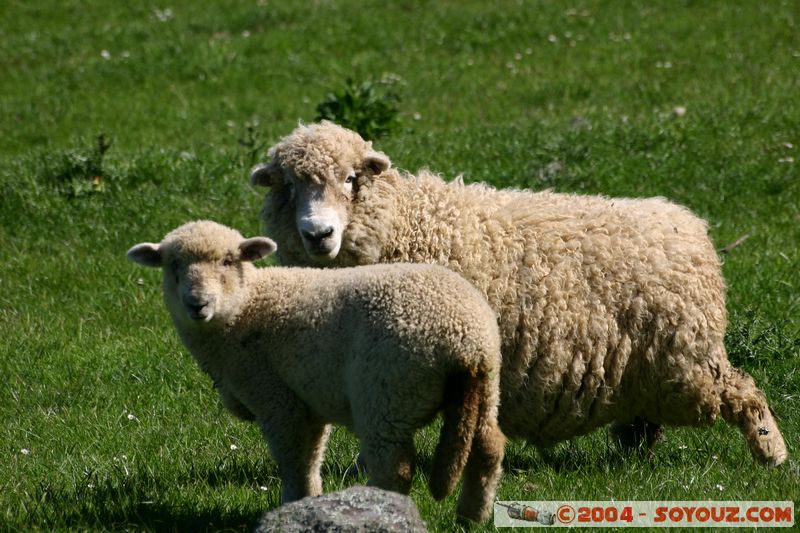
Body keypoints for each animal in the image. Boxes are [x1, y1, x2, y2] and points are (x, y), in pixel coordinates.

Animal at [127, 220, 505, 522]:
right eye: (173, 264)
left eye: (228, 261)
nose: (197, 304)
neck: (245, 308)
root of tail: (466, 340)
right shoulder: (309, 399)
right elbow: (312, 456)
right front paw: (311, 501)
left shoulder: (276, 398)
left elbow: (294, 460)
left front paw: (294, 504)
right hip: (486, 389)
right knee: (488, 449)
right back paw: (471, 517)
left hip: (386, 393)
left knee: (394, 465)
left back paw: (379, 506)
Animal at [251, 120, 788, 467]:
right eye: (290, 186)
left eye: (350, 179)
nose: (318, 234)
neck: (406, 224)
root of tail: (690, 227)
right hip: (653, 369)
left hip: (686, 363)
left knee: (743, 391)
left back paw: (772, 452)